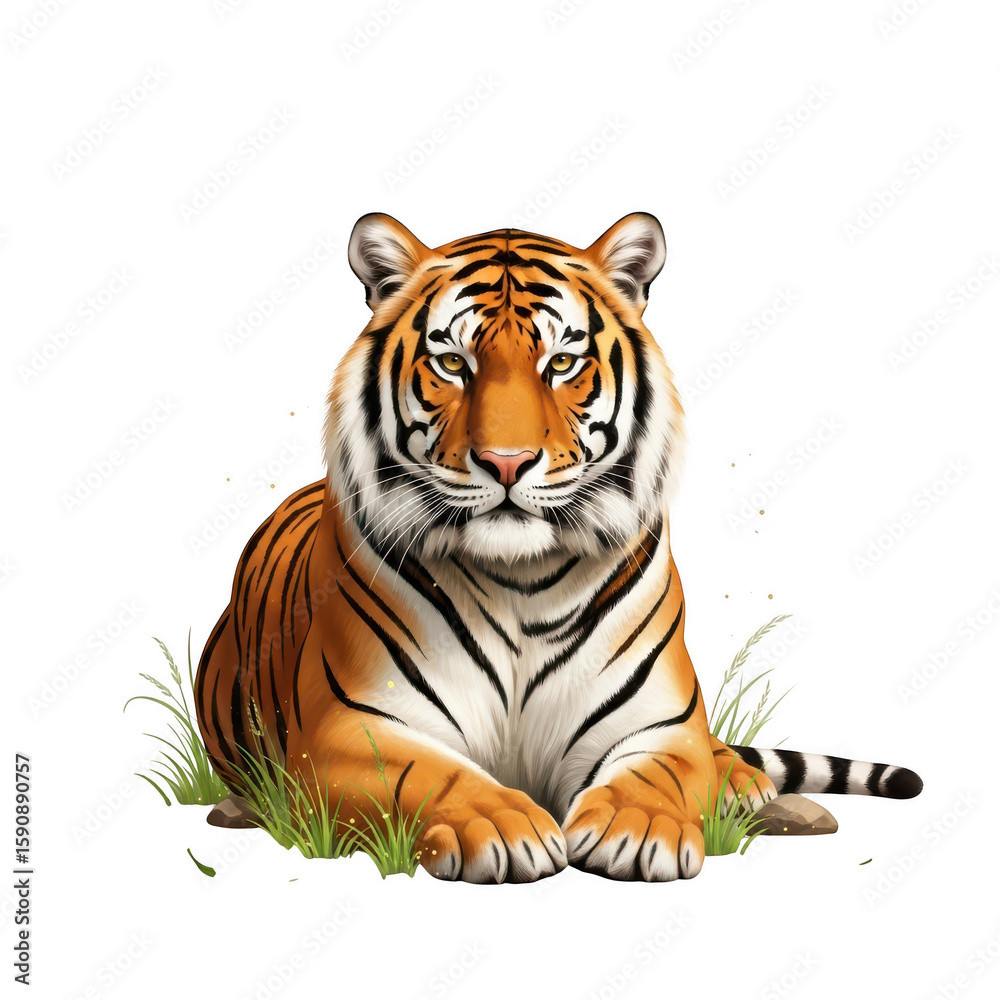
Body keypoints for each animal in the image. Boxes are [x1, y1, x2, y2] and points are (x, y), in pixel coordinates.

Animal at [195, 212, 922, 883]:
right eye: (452, 363)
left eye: (562, 363)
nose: (506, 462)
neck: (519, 578)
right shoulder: (348, 729)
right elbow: (428, 774)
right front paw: (499, 824)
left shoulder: (656, 726)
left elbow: (661, 773)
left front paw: (640, 828)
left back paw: (743, 782)